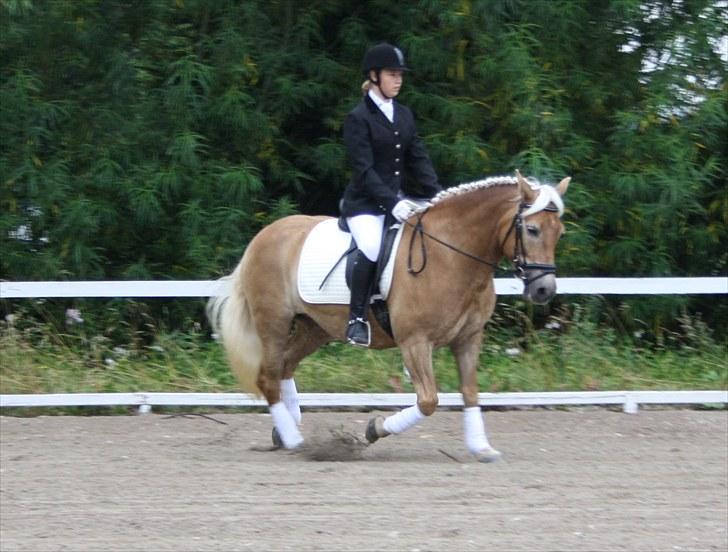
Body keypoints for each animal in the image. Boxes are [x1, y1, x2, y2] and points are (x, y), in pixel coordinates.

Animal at [208, 169, 572, 462]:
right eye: (532, 229)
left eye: (560, 232)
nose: (544, 290)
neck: (451, 256)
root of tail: (263, 236)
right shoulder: (415, 342)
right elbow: (428, 401)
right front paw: (373, 429)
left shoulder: (468, 339)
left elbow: (470, 392)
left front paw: (481, 447)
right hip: (273, 322)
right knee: (268, 377)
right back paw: (295, 439)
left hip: (316, 328)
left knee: (285, 367)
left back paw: (287, 431)